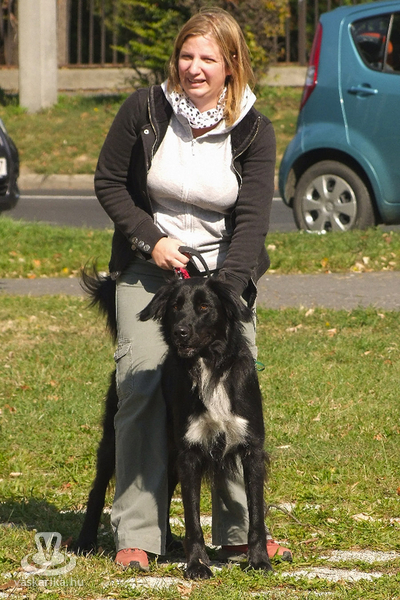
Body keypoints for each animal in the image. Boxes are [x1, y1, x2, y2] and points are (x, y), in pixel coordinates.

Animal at [74, 269, 273, 579]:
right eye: (175, 307)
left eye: (204, 307)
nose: (181, 331)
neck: (210, 367)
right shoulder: (189, 452)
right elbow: (192, 518)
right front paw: (197, 564)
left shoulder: (251, 449)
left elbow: (255, 514)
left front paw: (259, 560)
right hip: (115, 441)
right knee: (98, 489)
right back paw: (85, 541)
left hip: (170, 453)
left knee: (165, 492)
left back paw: (167, 540)